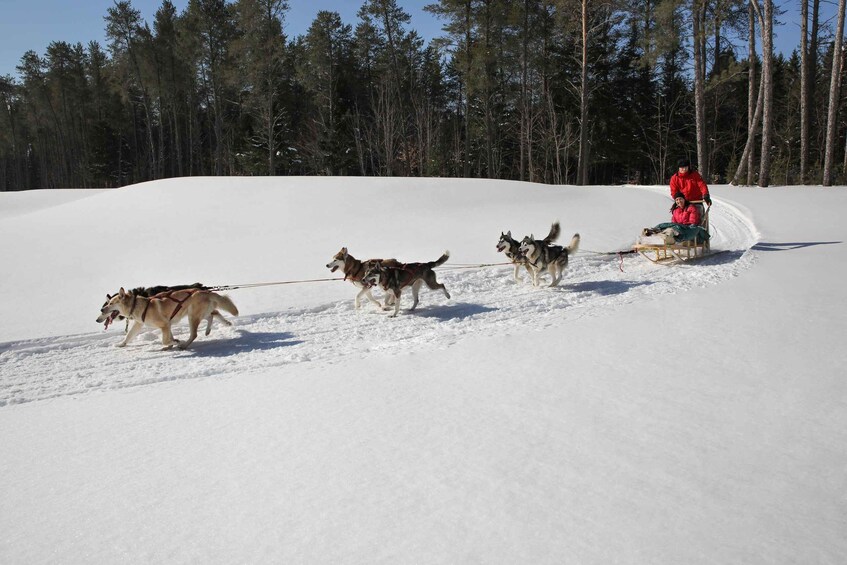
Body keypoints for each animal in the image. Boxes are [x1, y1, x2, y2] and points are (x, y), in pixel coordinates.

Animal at [97, 286, 240, 348]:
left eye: (110, 304)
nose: (101, 310)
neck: (137, 305)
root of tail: (204, 291)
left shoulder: (165, 324)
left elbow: (165, 340)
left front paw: (175, 342)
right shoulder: (140, 324)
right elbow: (129, 335)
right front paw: (121, 344)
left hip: (192, 316)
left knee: (194, 334)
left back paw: (184, 345)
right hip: (197, 314)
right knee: (213, 315)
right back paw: (211, 329)